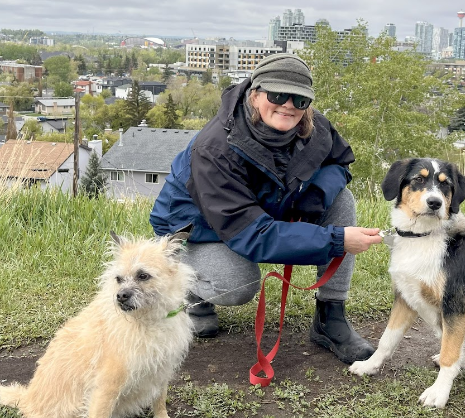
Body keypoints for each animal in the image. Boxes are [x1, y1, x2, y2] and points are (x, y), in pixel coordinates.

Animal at [0, 231, 195, 418]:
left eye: (143, 275)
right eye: (118, 279)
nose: (120, 296)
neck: (147, 319)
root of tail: (27, 399)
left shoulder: (161, 372)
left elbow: (160, 402)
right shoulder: (106, 387)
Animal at [349, 158, 465, 408]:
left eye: (445, 184)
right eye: (419, 179)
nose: (434, 203)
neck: (421, 236)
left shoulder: (454, 306)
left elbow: (450, 355)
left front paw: (438, 392)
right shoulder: (405, 297)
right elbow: (386, 340)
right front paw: (369, 365)